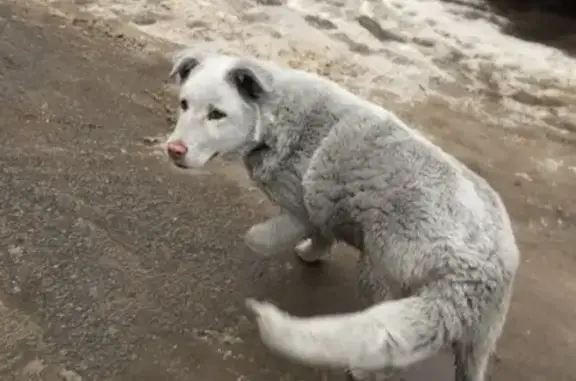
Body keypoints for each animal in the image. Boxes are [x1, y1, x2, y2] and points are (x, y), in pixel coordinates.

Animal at [164, 48, 520, 380]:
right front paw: (312, 254)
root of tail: (478, 272)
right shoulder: (320, 210)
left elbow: (258, 238)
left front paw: (271, 244)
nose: (174, 150)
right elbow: (323, 236)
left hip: (379, 273)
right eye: (184, 104)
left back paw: (365, 370)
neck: (275, 116)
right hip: (479, 340)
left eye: (217, 114)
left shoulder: (300, 210)